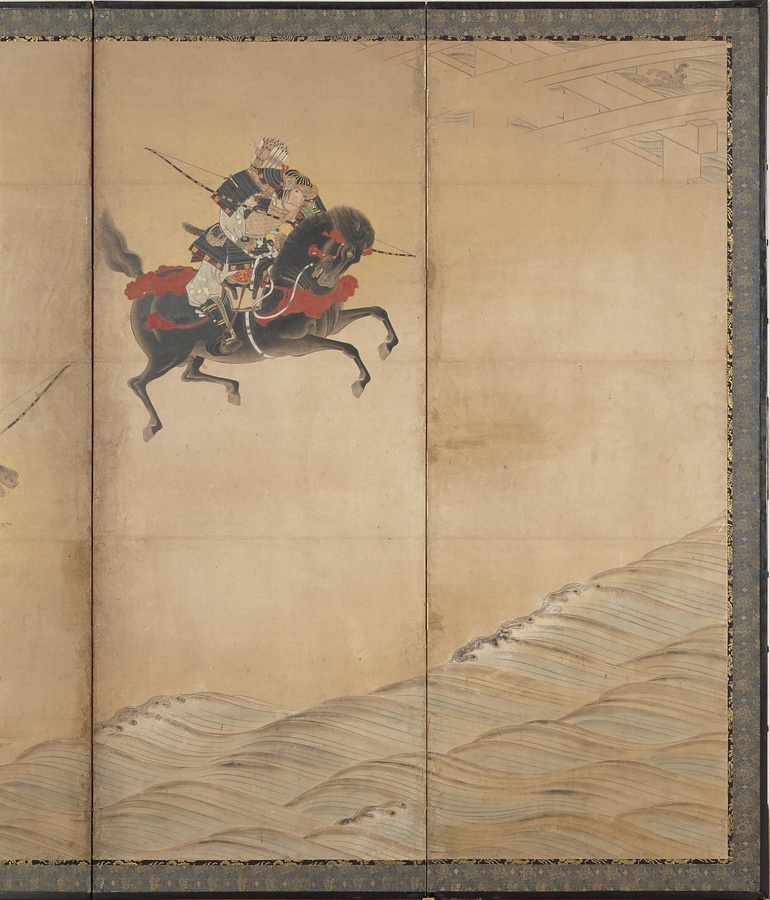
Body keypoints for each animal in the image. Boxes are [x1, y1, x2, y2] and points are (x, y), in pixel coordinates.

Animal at [101, 207, 398, 441]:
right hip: (167, 356)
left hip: (194, 352)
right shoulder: (295, 344)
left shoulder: (329, 329)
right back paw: (153, 426)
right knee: (137, 383)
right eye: (342, 248)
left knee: (189, 374)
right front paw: (361, 383)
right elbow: (349, 348)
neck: (294, 283)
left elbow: (377, 311)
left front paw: (387, 346)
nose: (326, 282)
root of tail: (142, 284)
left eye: (356, 256)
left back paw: (233, 389)